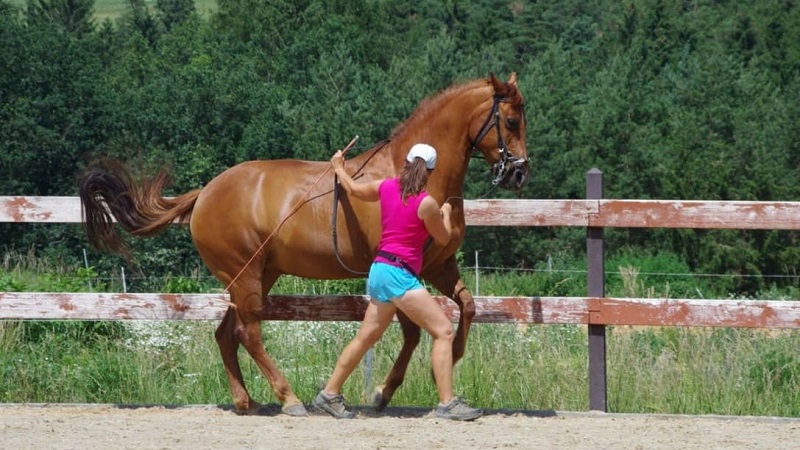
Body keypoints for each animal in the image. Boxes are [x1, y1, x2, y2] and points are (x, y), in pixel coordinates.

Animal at [79, 73, 532, 414]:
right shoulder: (408, 270)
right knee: (248, 333)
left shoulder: (439, 263)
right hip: (245, 277)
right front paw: (383, 392)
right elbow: (411, 333)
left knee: (226, 334)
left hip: (256, 276)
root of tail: (205, 192)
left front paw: (451, 355)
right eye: (511, 120)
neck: (415, 174)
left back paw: (246, 401)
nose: (519, 174)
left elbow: (467, 306)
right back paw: (290, 398)